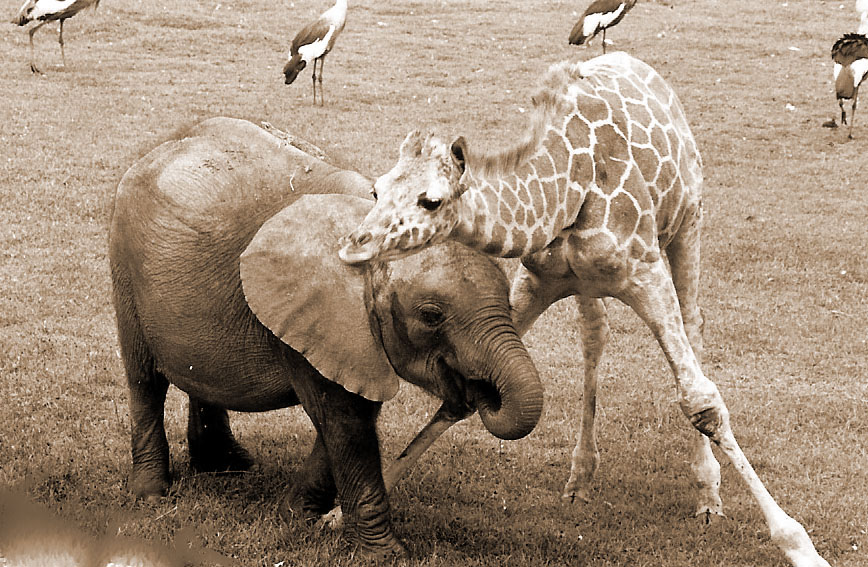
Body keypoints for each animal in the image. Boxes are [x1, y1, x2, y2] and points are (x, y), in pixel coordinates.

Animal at [108, 117, 544, 557]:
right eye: (431, 316)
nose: (477, 394)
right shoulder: (312, 313)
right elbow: (345, 422)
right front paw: (385, 555)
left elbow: (348, 417)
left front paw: (298, 516)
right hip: (124, 264)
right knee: (144, 381)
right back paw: (151, 494)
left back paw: (228, 467)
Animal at [339, 52, 828, 567]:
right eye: (376, 190)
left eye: (431, 201)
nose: (354, 245)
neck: (566, 196)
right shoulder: (539, 279)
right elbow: (468, 394)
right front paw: (335, 513)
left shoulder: (645, 272)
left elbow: (702, 401)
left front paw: (800, 546)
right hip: (588, 284)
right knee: (595, 334)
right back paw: (579, 478)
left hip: (688, 222)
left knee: (693, 324)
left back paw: (708, 494)